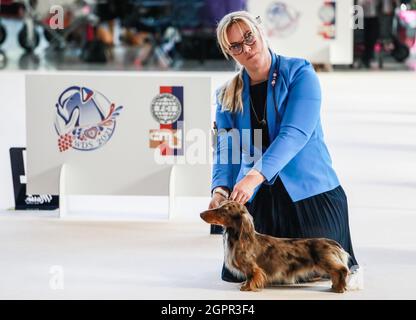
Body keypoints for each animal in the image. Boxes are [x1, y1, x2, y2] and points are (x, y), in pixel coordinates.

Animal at [200, 200, 350, 292]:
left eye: (223, 211)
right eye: (220, 205)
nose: (201, 213)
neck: (239, 238)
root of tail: (331, 242)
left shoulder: (251, 266)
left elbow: (251, 276)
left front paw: (247, 287)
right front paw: (245, 285)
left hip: (326, 261)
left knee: (342, 270)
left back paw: (340, 288)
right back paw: (335, 286)